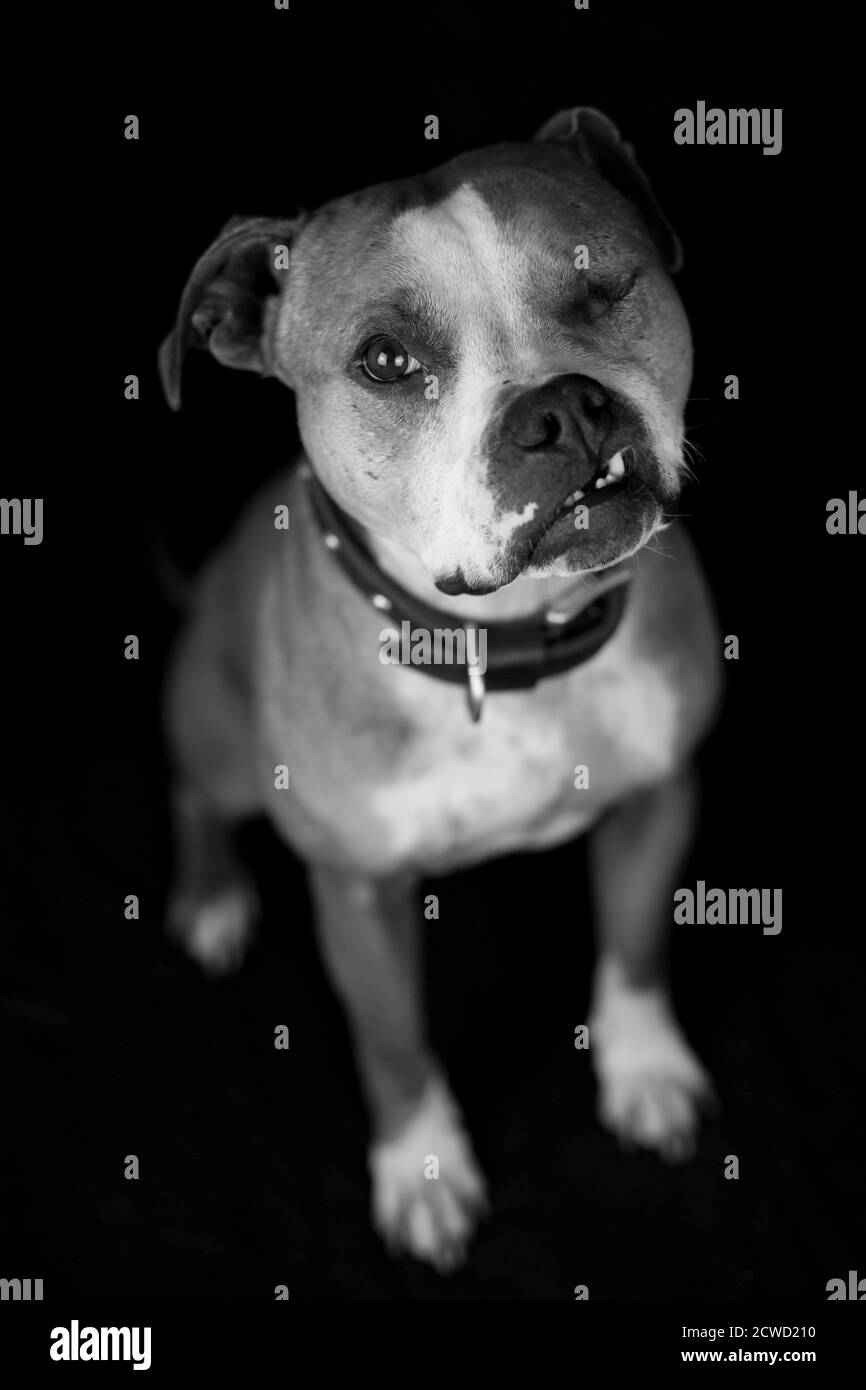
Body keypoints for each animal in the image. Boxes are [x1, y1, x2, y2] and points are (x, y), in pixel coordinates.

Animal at [159, 111, 722, 1273]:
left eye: (606, 287)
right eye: (386, 359)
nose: (560, 409)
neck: (503, 649)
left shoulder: (659, 796)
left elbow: (636, 950)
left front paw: (644, 1069)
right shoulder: (359, 894)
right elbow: (394, 1043)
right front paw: (421, 1170)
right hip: (220, 736)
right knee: (197, 791)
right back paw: (213, 896)